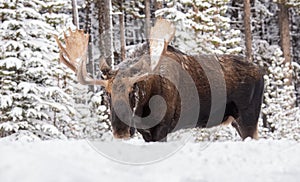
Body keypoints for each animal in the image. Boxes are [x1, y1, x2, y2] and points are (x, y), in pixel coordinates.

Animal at [55, 19, 264, 142]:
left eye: (133, 91)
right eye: (107, 94)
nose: (121, 131)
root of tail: (261, 71)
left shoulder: (162, 129)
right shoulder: (145, 133)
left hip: (248, 118)